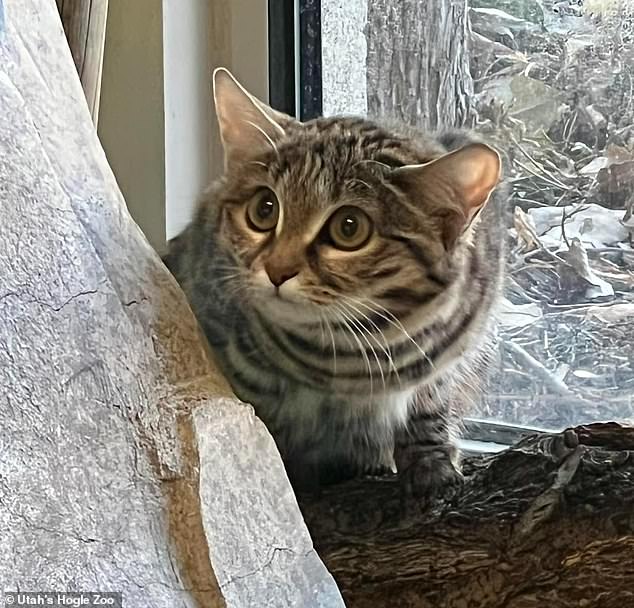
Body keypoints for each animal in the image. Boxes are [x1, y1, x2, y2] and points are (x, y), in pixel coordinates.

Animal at [165, 67, 506, 494]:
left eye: (349, 227)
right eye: (264, 209)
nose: (276, 269)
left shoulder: (457, 354)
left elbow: (430, 407)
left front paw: (431, 461)